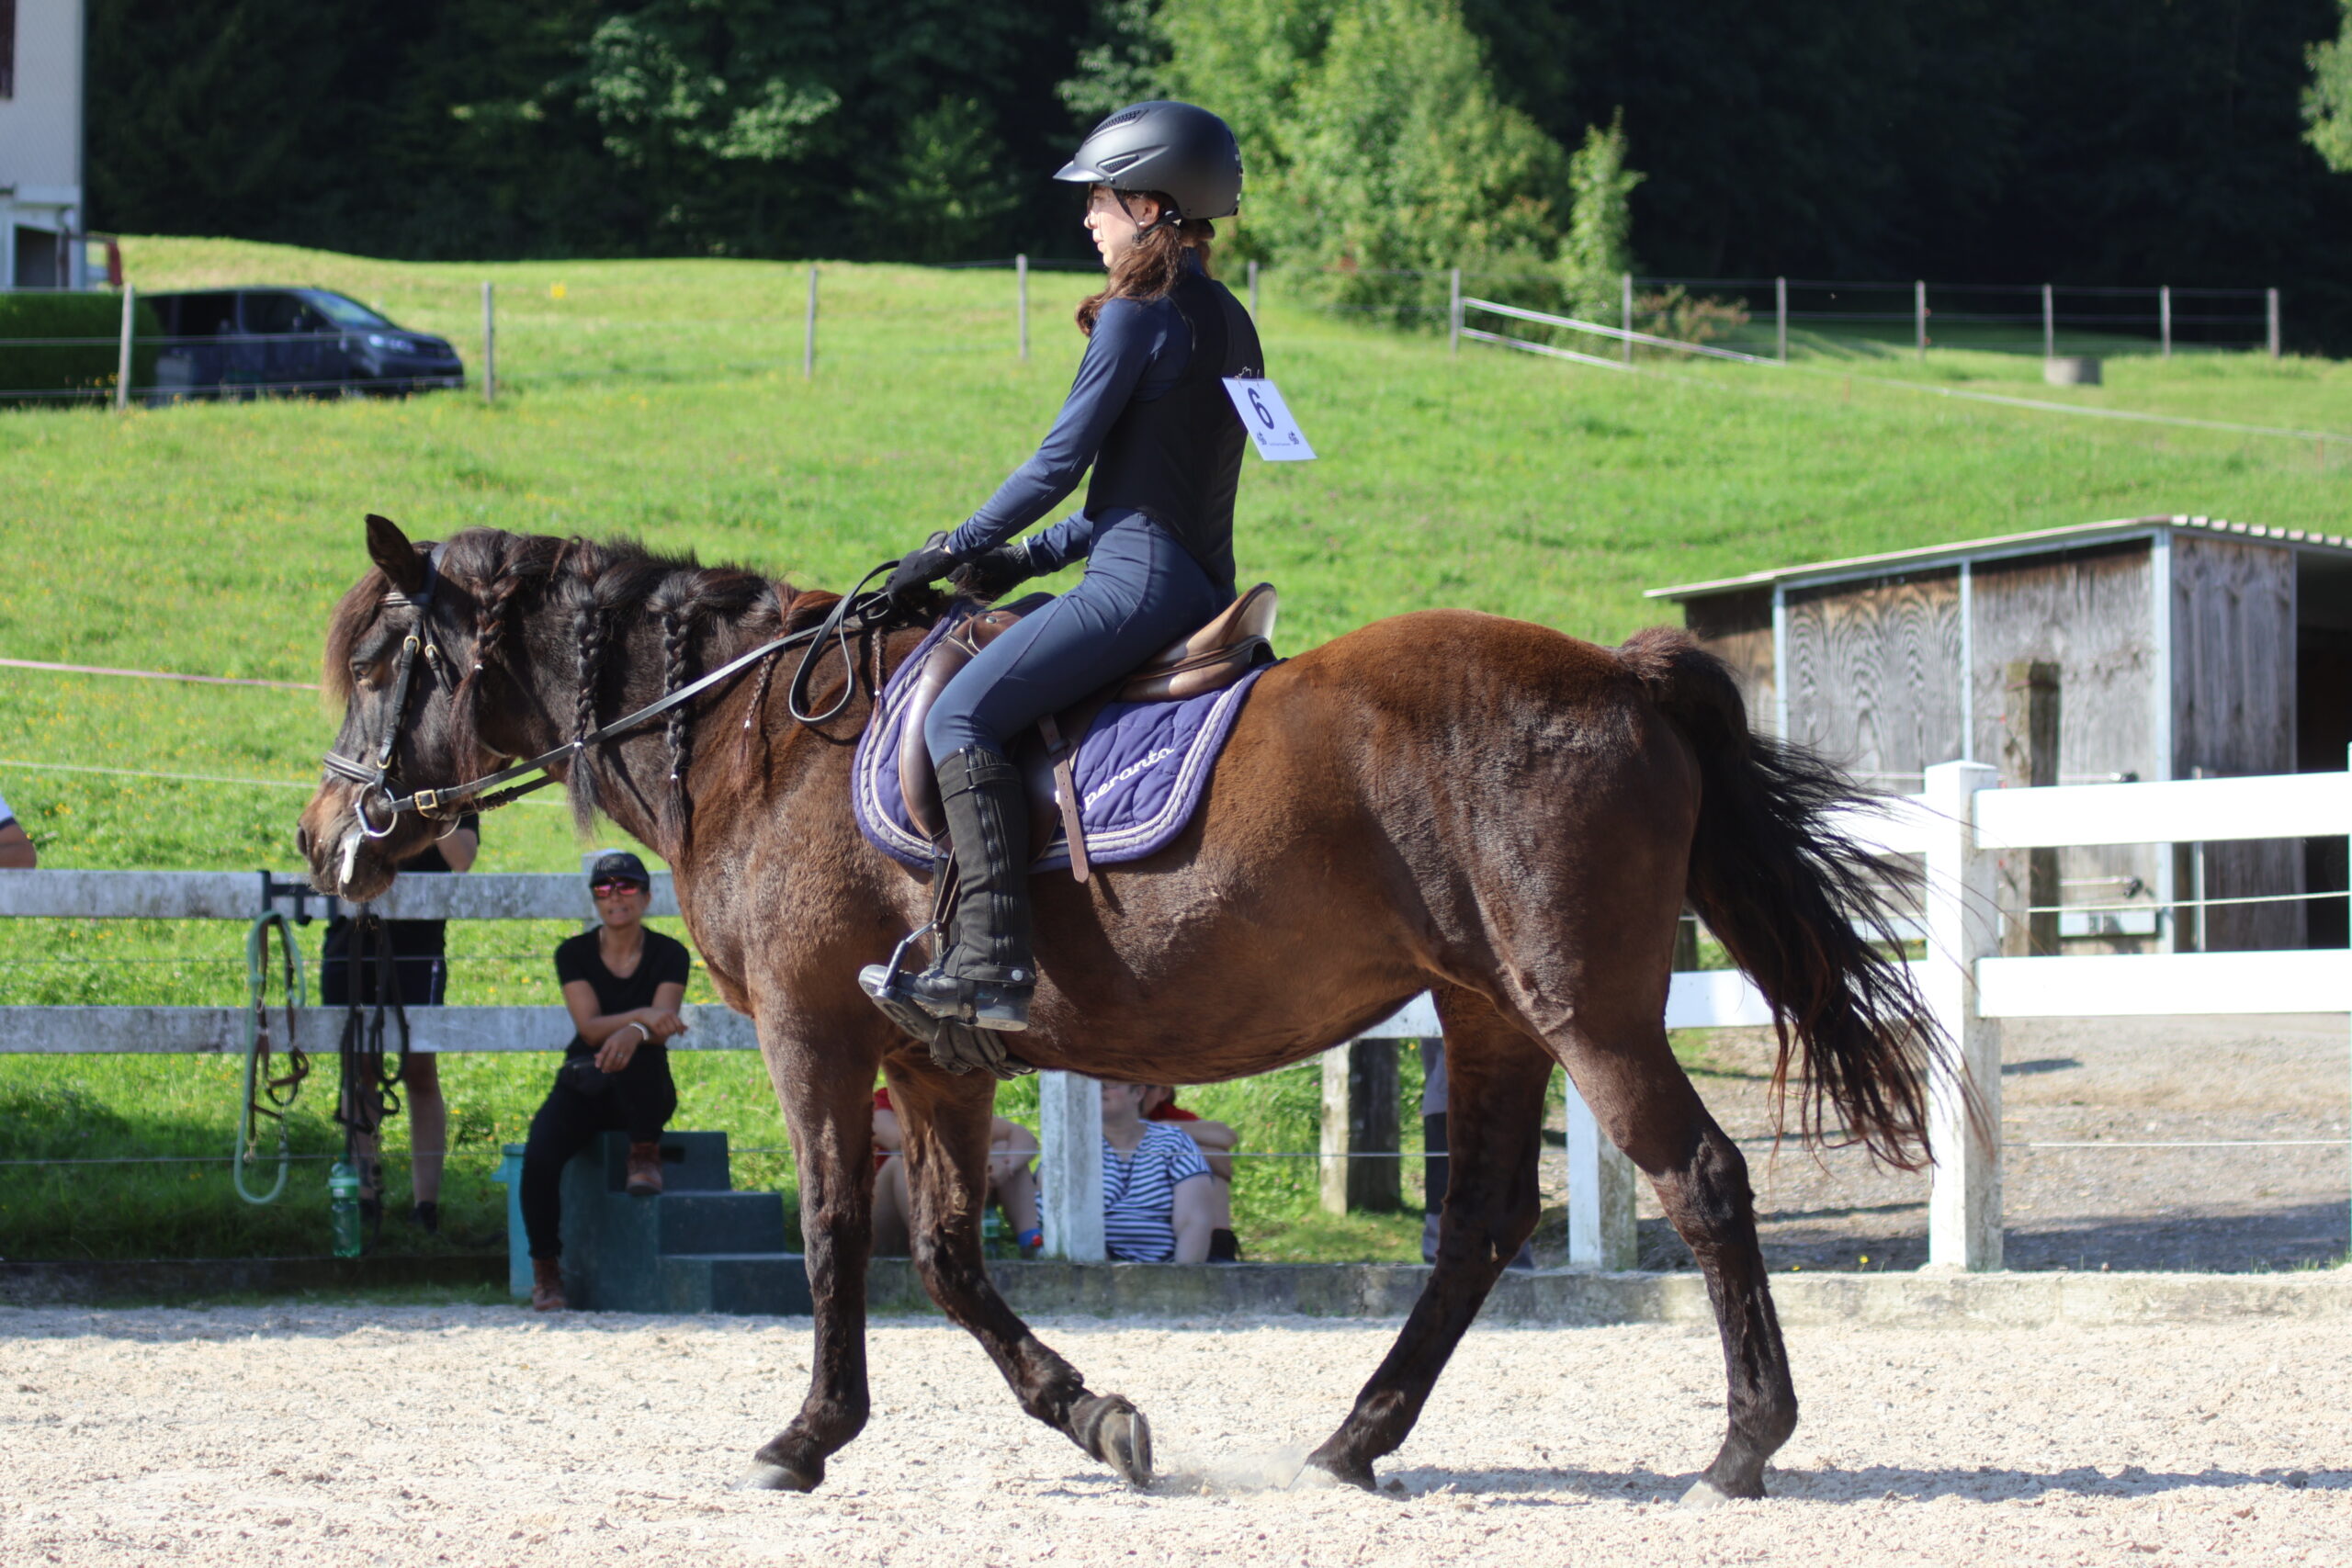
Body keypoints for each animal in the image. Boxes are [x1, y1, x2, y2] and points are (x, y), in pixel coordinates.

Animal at [296, 514, 1941, 1505]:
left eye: (380, 664)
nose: (328, 840)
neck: (759, 740)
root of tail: (1621, 673)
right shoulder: (937, 1058)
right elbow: (948, 1256)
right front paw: (1098, 1416)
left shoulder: (815, 1034)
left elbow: (833, 1233)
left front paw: (804, 1437)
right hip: (1489, 1013)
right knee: (1480, 1220)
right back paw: (1355, 1437)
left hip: (1588, 1008)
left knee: (1702, 1177)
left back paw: (1741, 1445)